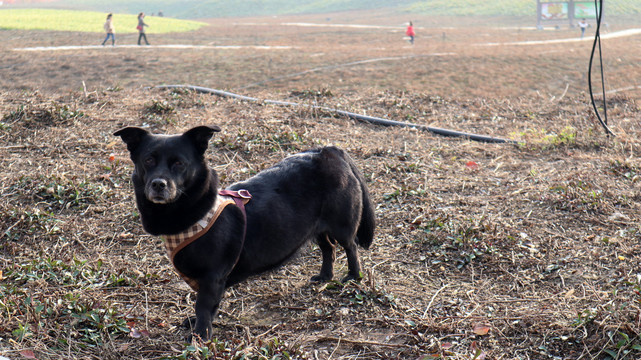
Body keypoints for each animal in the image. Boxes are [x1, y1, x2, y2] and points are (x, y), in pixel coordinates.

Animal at [114, 126, 376, 340]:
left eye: (179, 163)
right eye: (148, 160)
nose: (158, 184)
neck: (196, 212)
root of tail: (329, 151)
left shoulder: (212, 277)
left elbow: (203, 306)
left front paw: (200, 335)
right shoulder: (214, 281)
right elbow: (210, 306)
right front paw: (198, 324)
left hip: (341, 224)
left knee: (350, 246)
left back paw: (353, 276)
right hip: (317, 228)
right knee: (328, 248)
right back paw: (324, 276)